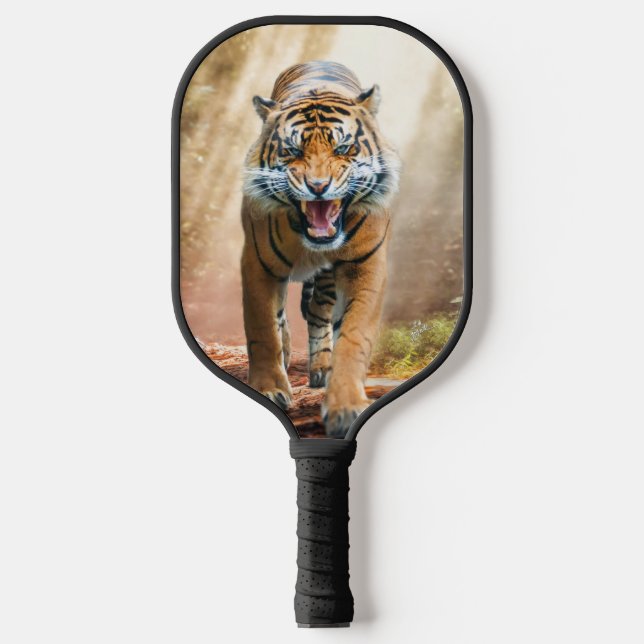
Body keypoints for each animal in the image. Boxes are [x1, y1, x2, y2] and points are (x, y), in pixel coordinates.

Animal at [240, 61, 400, 437]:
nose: (317, 187)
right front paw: (269, 388)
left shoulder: (366, 266)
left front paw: (346, 404)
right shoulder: (257, 263)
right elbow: (262, 329)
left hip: (327, 281)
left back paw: (322, 368)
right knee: (282, 317)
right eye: (292, 151)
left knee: (318, 313)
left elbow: (354, 336)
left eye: (343, 149)